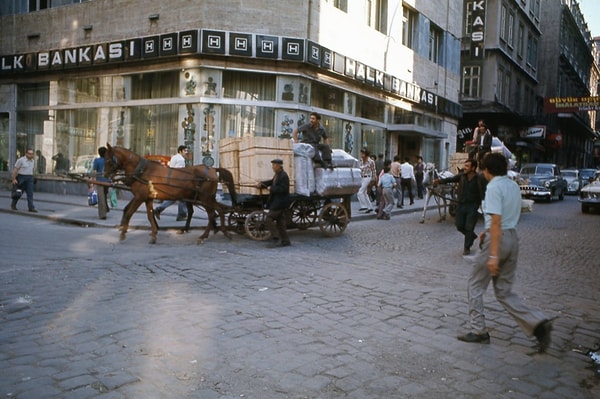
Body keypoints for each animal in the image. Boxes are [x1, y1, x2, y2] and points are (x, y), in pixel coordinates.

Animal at [103, 144, 237, 244]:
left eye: (108, 160)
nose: (105, 175)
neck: (141, 171)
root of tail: (213, 169)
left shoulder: (139, 197)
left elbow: (129, 213)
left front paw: (123, 233)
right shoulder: (148, 198)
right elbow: (149, 215)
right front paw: (153, 234)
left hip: (205, 198)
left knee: (212, 215)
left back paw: (204, 235)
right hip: (208, 198)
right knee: (218, 211)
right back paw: (220, 231)